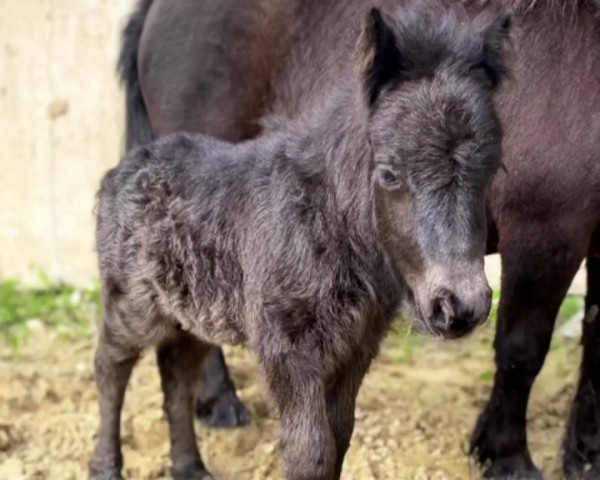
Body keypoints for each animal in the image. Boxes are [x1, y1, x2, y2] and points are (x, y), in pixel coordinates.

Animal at [117, 1, 600, 478]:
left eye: (493, 169)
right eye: (389, 175)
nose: (459, 309)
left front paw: (584, 454)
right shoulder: (547, 230)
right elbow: (523, 349)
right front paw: (507, 457)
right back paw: (221, 406)